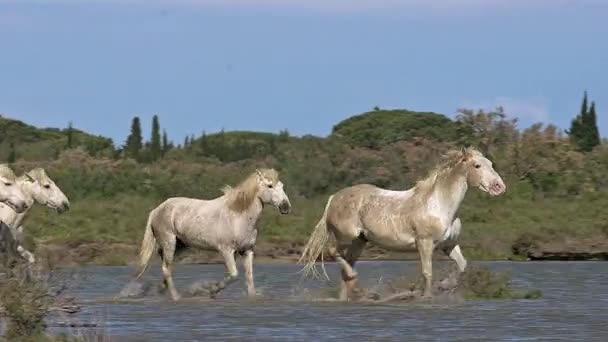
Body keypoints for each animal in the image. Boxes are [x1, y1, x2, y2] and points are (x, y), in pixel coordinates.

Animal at [137, 168, 290, 300]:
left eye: (282, 185)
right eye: (270, 186)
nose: (286, 206)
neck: (238, 215)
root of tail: (157, 210)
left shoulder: (247, 250)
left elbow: (249, 279)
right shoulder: (226, 250)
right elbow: (233, 275)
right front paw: (211, 291)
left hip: (179, 245)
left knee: (167, 266)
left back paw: (161, 290)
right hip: (169, 242)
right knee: (166, 269)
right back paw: (176, 297)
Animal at [298, 147, 504, 300]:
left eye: (491, 164)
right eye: (477, 165)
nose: (499, 187)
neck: (439, 204)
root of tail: (334, 198)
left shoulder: (448, 245)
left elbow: (462, 265)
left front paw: (445, 285)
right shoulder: (424, 243)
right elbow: (427, 272)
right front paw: (426, 297)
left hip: (359, 241)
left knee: (345, 266)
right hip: (345, 237)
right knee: (332, 252)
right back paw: (357, 283)